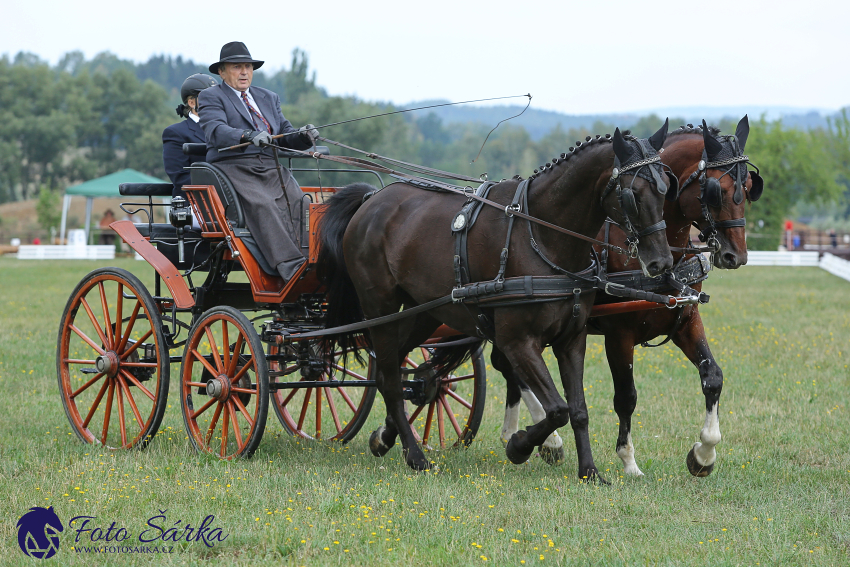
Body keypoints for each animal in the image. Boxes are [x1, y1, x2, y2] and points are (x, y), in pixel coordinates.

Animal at [314, 125, 672, 480]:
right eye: (634, 194)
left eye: (666, 188)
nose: (662, 262)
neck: (541, 236)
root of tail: (371, 199)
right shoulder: (518, 342)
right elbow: (557, 409)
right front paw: (520, 446)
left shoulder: (572, 339)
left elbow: (578, 409)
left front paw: (589, 472)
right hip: (380, 308)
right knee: (388, 378)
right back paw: (416, 456)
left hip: (426, 312)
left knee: (396, 369)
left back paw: (385, 437)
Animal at [496, 117, 760, 478]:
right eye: (714, 191)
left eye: (748, 187)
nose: (737, 255)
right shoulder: (619, 335)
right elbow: (626, 397)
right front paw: (629, 460)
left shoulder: (685, 321)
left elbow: (713, 377)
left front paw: (704, 453)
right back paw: (546, 441)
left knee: (509, 367)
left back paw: (521, 434)